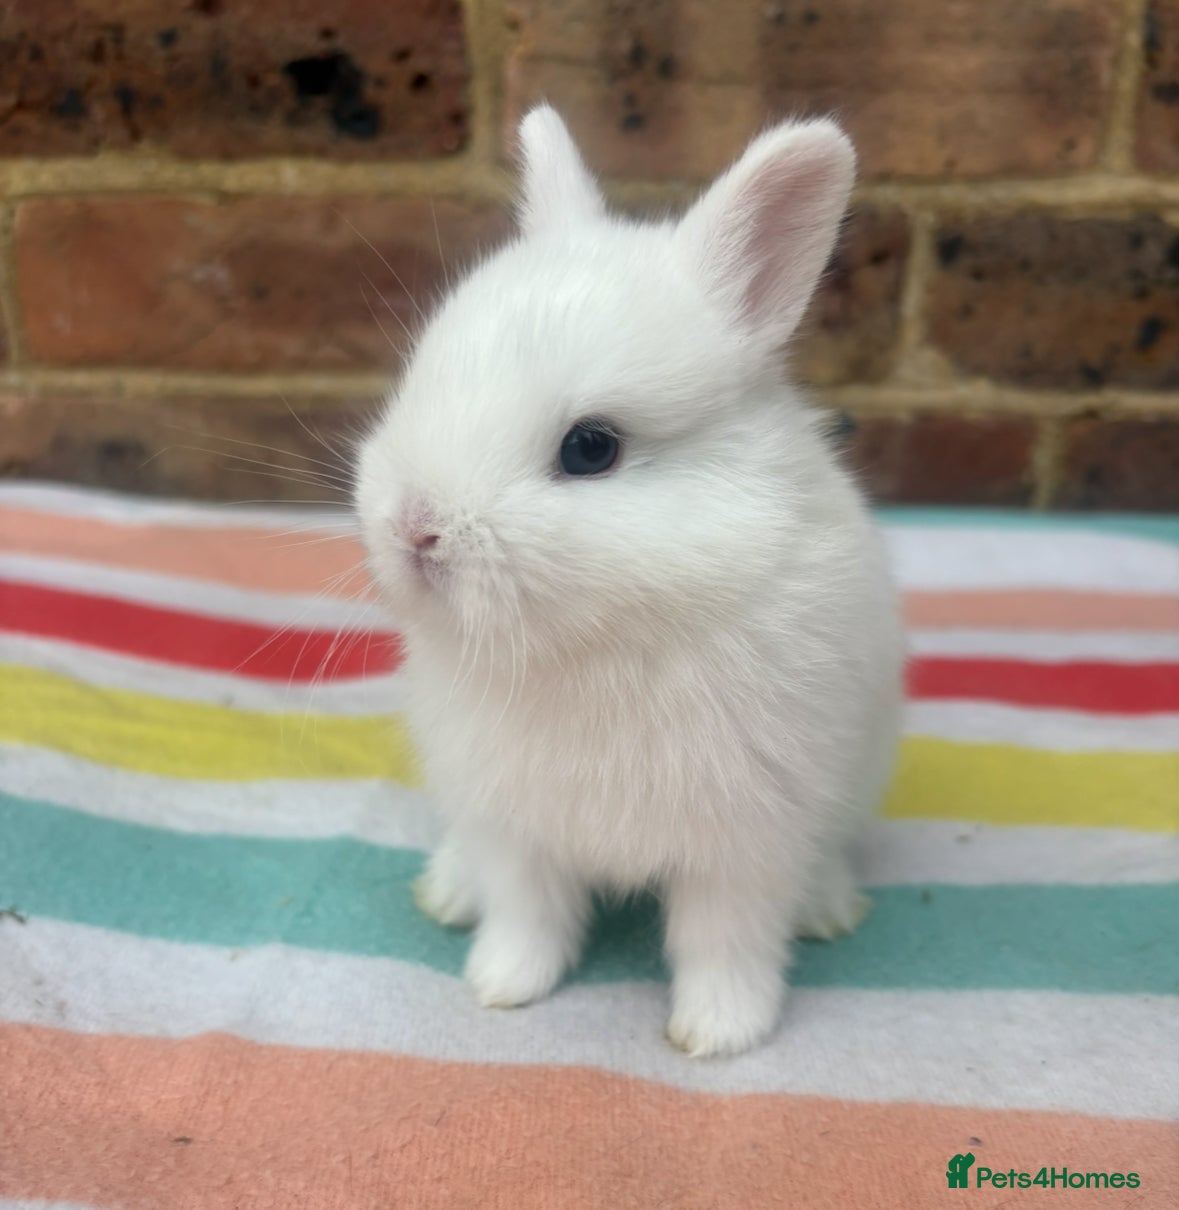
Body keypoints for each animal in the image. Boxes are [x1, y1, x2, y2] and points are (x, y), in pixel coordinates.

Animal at [354, 106, 905, 1057]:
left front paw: (720, 1034)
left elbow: (725, 940)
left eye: (590, 448)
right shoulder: (513, 828)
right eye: (420, 380)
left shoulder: (746, 841)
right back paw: (449, 890)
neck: (602, 636)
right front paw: (502, 988)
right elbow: (528, 916)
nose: (414, 528)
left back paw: (828, 909)